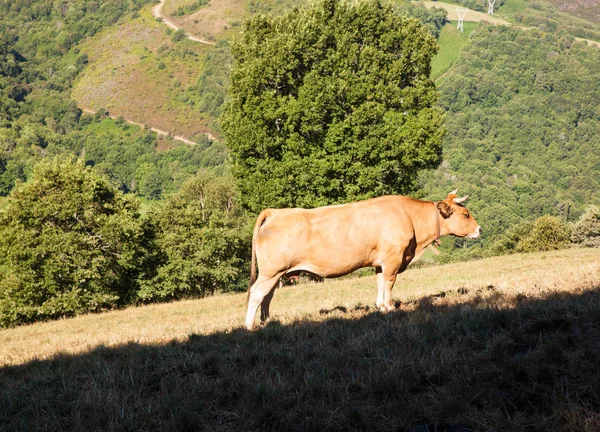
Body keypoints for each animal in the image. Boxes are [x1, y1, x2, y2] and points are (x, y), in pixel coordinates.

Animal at [241, 191, 480, 330]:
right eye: (466, 214)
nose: (479, 229)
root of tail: (275, 212)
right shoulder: (393, 258)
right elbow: (389, 283)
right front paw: (390, 307)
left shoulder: (380, 262)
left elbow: (380, 283)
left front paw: (380, 307)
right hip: (271, 271)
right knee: (257, 293)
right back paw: (249, 326)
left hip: (275, 273)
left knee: (267, 296)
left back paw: (267, 322)